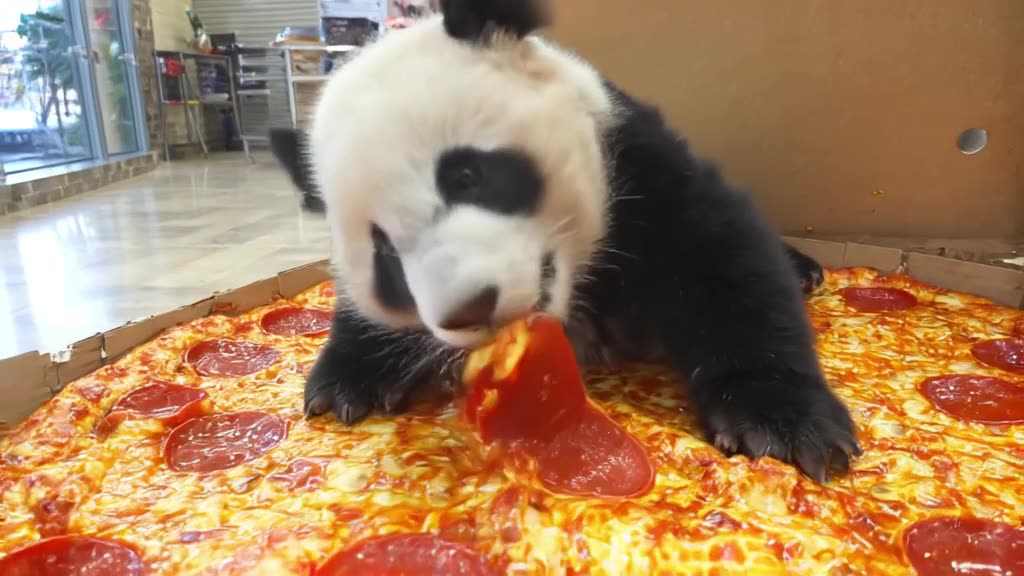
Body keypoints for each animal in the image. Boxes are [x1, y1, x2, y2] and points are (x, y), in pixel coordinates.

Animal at [270, 0, 860, 483]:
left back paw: (805, 270)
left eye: (466, 176)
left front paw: (780, 421)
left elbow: (722, 260)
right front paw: (351, 379)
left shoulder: (630, 162)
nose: (471, 307)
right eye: (385, 255)